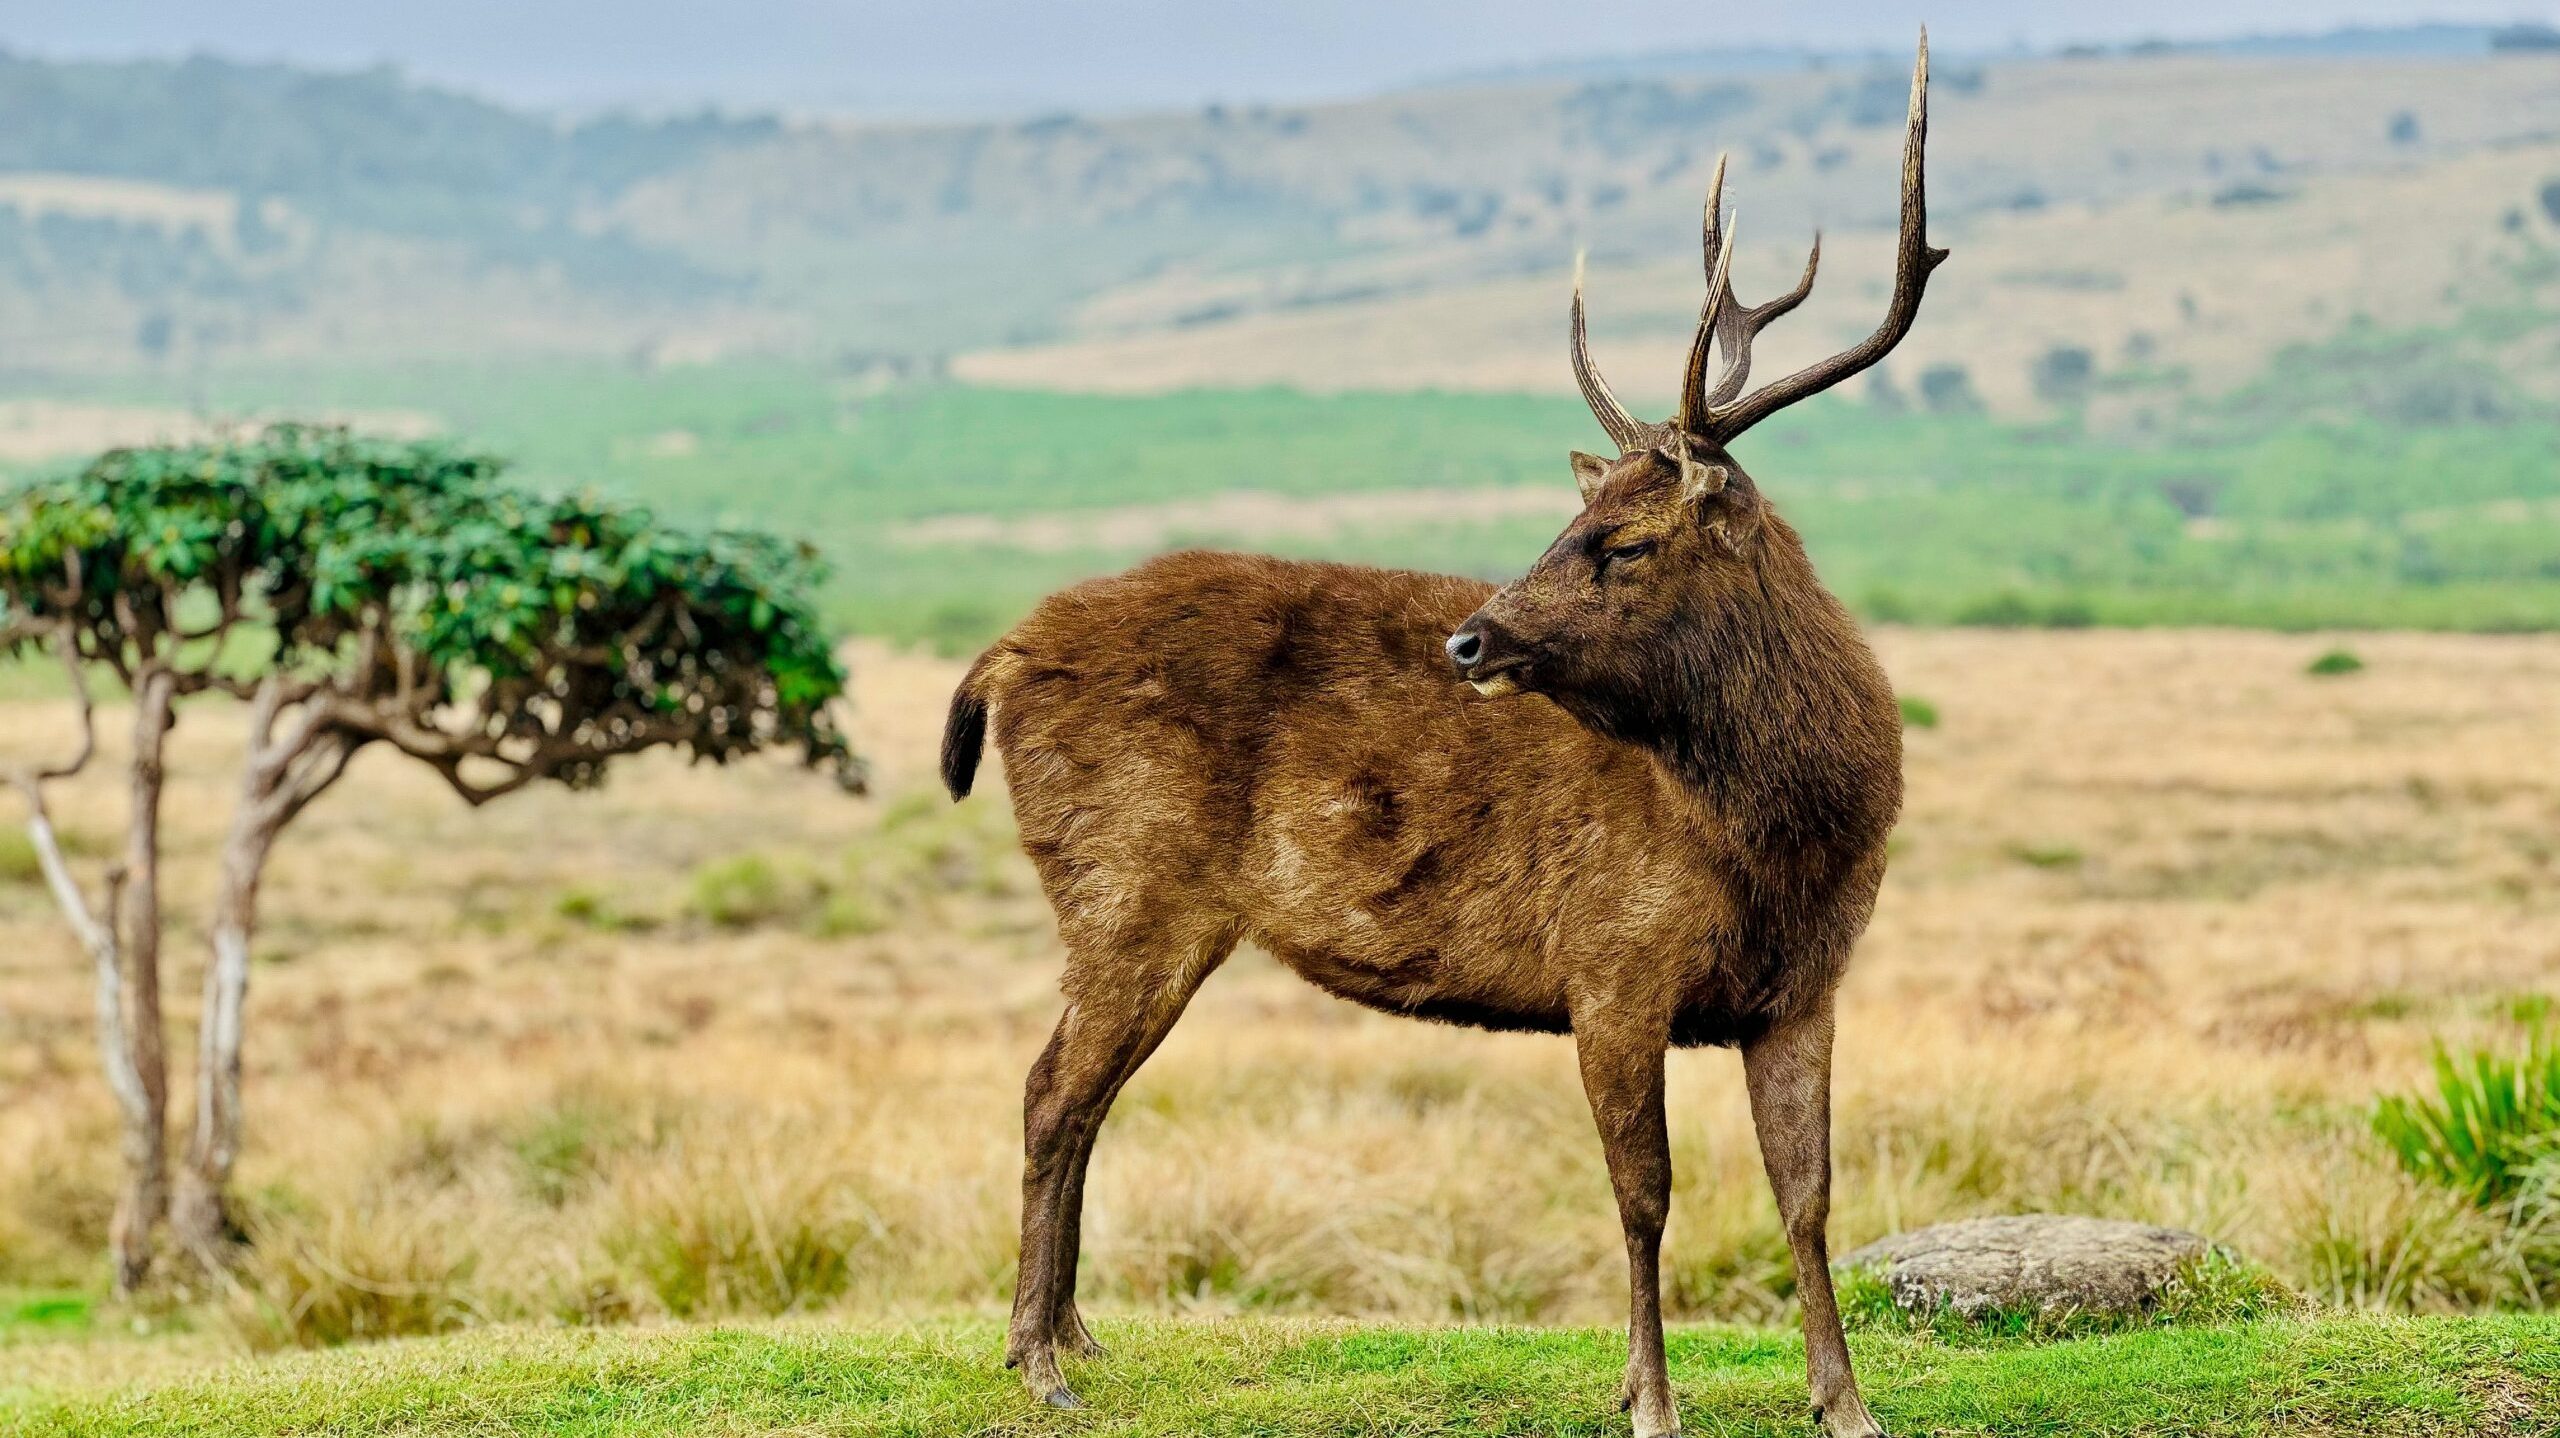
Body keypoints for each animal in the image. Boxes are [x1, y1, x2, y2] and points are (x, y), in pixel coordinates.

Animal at [938, 33, 1944, 1438]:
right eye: (1569, 522)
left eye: (1624, 543)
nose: (1470, 642)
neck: (1787, 831)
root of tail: (997, 657)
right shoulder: (1611, 964)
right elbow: (1645, 1196)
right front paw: (1649, 1399)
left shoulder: (1805, 984)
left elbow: (1807, 1195)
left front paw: (1843, 1403)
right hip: (1124, 881)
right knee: (1049, 1089)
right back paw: (1035, 1359)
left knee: (1082, 1095)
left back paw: (1078, 1336)